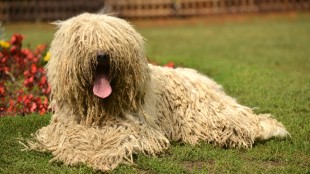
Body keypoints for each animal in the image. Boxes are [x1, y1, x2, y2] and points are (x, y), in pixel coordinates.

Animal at [28, 12, 288, 172]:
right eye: (83, 40)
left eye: (112, 40)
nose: (102, 55)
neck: (99, 109)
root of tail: (207, 83)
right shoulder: (66, 127)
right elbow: (71, 138)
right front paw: (79, 150)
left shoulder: (137, 129)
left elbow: (118, 139)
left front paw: (102, 154)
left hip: (207, 117)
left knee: (247, 123)